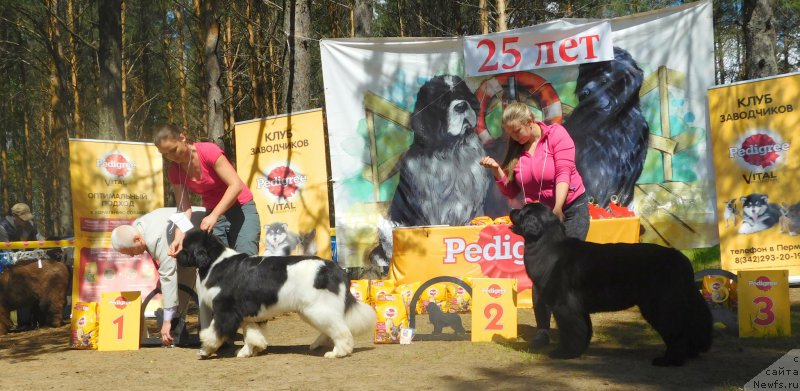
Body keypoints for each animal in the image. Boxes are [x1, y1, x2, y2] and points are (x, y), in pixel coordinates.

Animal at [177, 231, 376, 360]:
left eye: (185, 248)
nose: (176, 254)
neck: (216, 262)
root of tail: (336, 269)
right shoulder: (250, 313)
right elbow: (251, 334)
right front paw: (249, 351)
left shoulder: (225, 311)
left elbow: (214, 332)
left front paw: (205, 350)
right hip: (312, 310)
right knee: (332, 327)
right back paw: (317, 345)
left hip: (317, 308)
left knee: (341, 330)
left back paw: (337, 352)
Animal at [510, 204, 708, 366]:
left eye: (523, 212)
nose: (511, 210)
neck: (547, 247)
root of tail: (681, 259)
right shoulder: (578, 308)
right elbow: (584, 329)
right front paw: (579, 350)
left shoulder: (564, 306)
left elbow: (570, 331)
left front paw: (564, 353)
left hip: (661, 305)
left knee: (677, 331)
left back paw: (669, 360)